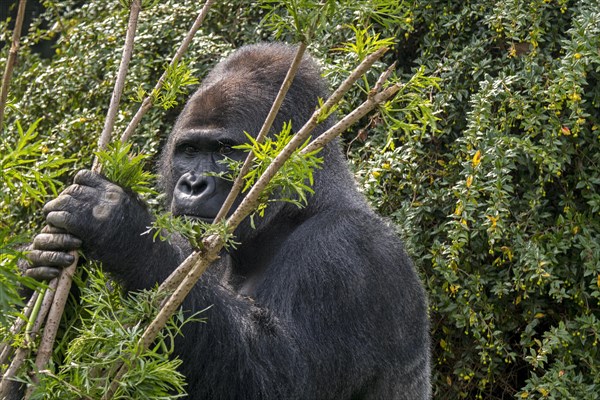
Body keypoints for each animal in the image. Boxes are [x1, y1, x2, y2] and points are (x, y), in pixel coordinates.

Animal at [24, 43, 432, 400]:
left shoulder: (348, 251)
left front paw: (117, 225)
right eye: (189, 151)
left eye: (224, 151)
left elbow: (280, 379)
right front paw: (51, 267)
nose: (192, 185)